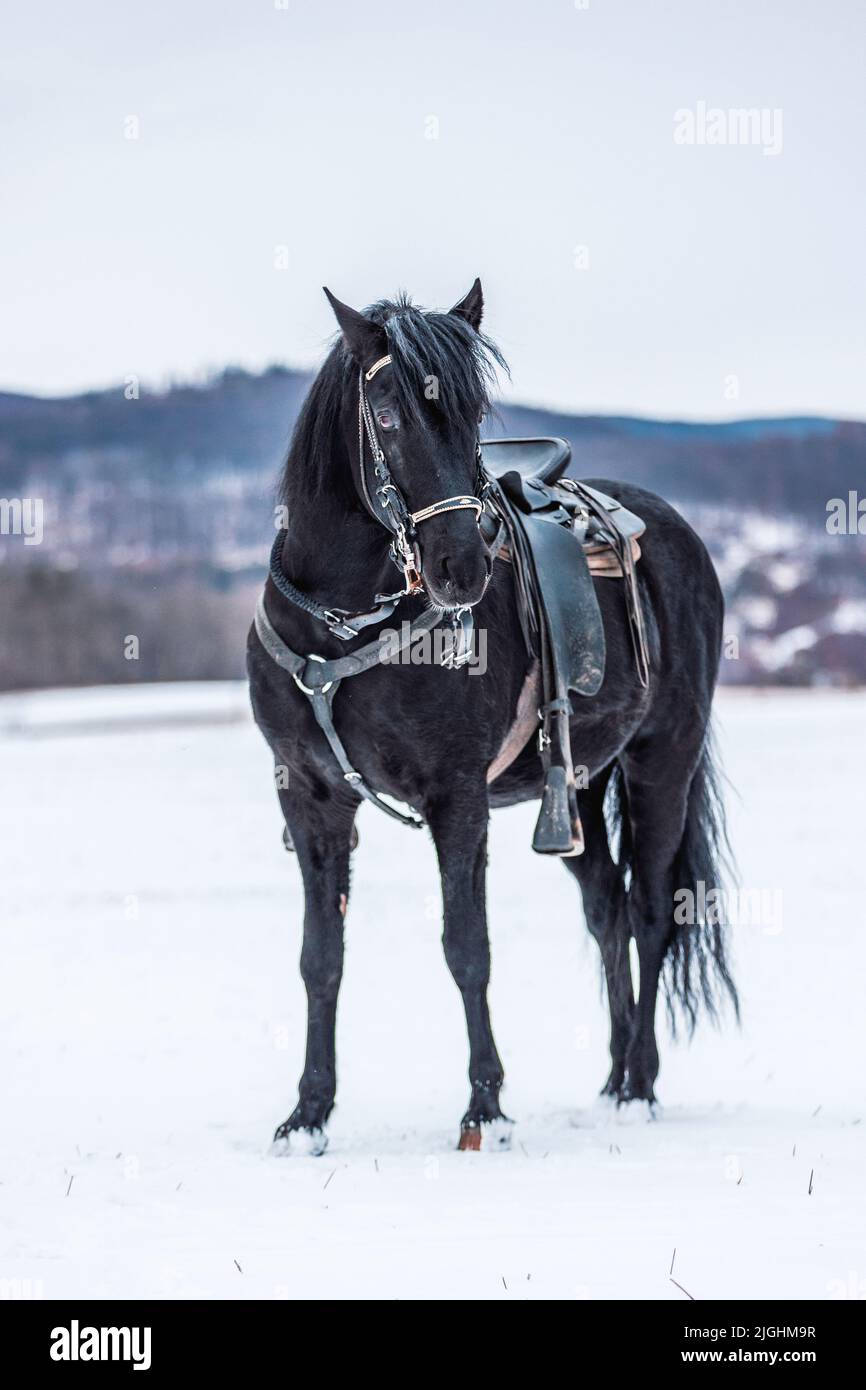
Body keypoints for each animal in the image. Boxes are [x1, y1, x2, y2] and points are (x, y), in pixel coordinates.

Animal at [246, 279, 739, 1150]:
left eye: (474, 410)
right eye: (387, 413)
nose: (461, 567)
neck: (341, 629)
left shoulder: (457, 797)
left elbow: (466, 947)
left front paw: (485, 1109)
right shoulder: (310, 799)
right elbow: (320, 958)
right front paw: (307, 1115)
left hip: (662, 764)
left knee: (651, 913)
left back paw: (639, 1086)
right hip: (577, 787)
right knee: (607, 910)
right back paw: (611, 1080)